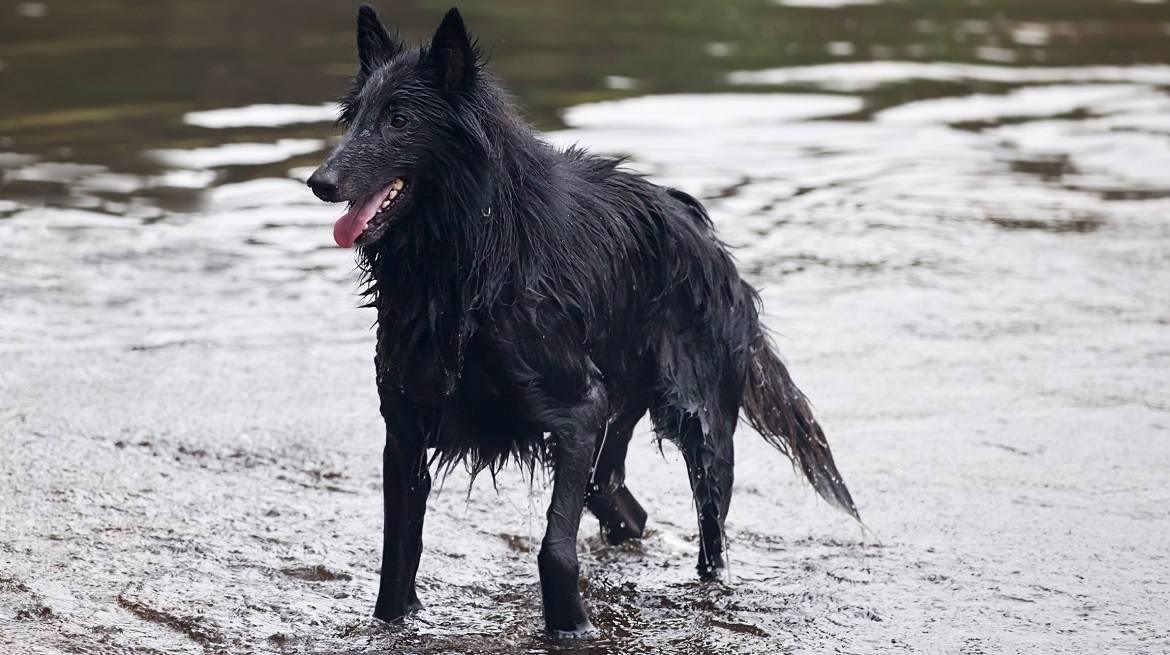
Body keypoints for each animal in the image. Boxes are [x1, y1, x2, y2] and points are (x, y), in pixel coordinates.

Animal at [311, 5, 861, 636]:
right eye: (353, 118)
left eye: (399, 119)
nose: (319, 182)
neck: (465, 265)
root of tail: (702, 231)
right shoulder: (404, 431)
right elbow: (396, 559)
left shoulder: (577, 414)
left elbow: (555, 548)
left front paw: (570, 626)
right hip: (617, 423)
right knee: (623, 505)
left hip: (699, 429)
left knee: (710, 541)